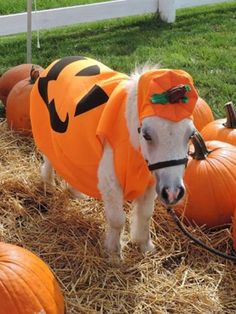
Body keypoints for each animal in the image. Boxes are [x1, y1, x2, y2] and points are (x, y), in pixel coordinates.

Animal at [37, 64, 195, 258]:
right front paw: (113, 253)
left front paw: (145, 245)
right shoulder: (110, 182)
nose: (173, 193)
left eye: (191, 135)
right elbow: (117, 219)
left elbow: (145, 214)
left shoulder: (151, 183)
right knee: (49, 160)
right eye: (147, 135)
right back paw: (49, 185)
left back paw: (76, 193)